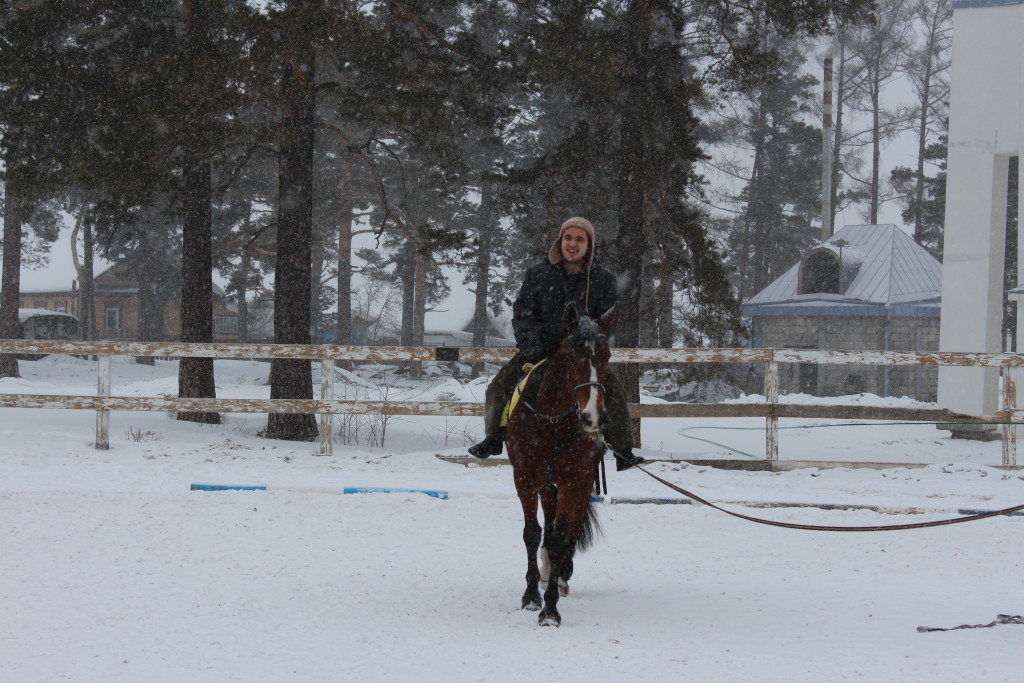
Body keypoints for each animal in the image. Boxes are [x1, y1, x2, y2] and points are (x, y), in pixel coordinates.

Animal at [505, 301, 614, 626]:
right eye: (573, 356)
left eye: (607, 356)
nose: (593, 418)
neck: (553, 422)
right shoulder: (525, 478)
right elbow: (532, 534)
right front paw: (531, 596)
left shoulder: (575, 482)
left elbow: (560, 539)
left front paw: (550, 610)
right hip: (547, 487)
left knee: (567, 533)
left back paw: (561, 575)